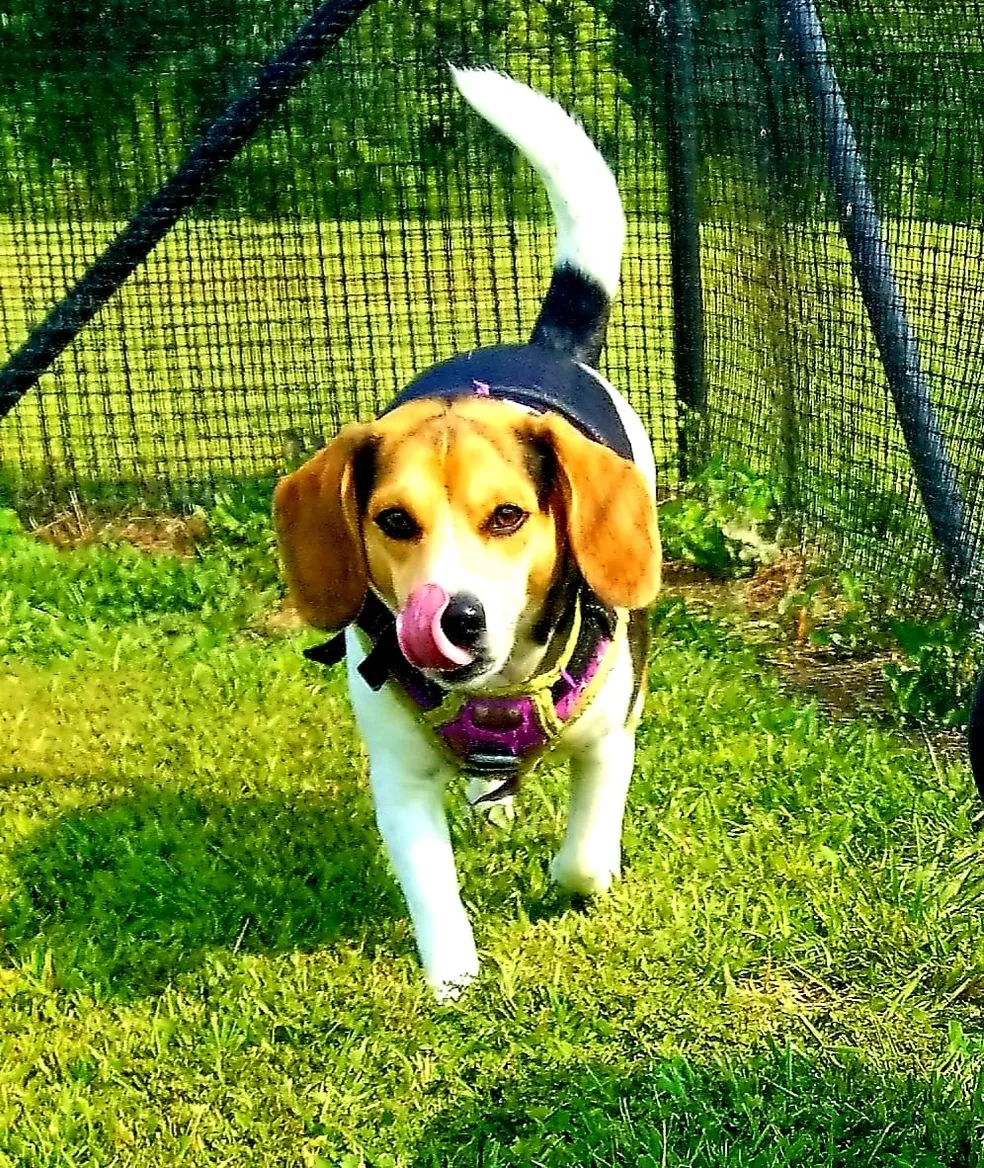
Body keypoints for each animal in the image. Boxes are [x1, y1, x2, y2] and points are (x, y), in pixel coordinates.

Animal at [274, 66, 659, 995]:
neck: (497, 691)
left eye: (509, 516)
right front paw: (453, 982)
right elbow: (430, 887)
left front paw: (581, 875)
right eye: (393, 520)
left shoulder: (610, 737)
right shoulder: (399, 776)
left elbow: (584, 858)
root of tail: (546, 344)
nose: (455, 617)